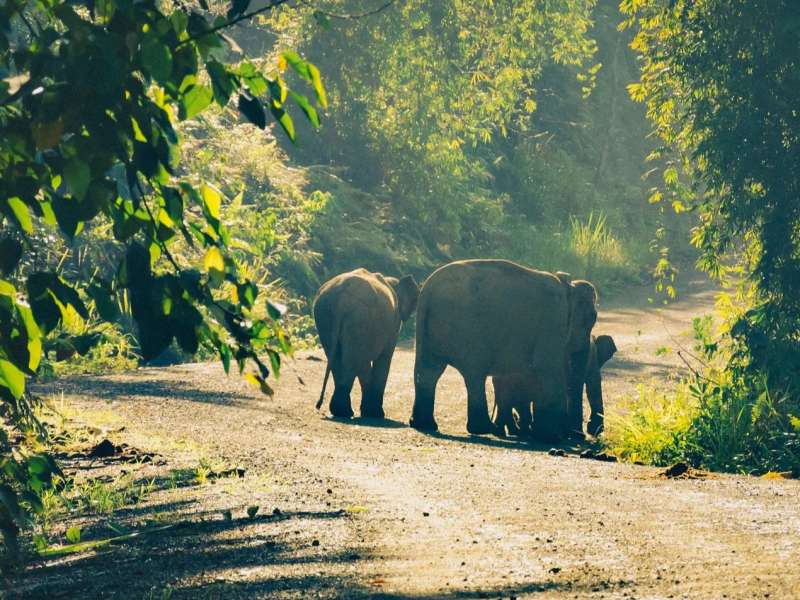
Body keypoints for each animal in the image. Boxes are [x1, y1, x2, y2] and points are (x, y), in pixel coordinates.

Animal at [314, 268, 419, 419]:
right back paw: (348, 412)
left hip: (326, 315)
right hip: (360, 319)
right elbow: (384, 358)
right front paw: (376, 414)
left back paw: (342, 412)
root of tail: (342, 300)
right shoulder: (393, 324)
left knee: (340, 359)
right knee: (354, 361)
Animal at [409, 259, 597, 442]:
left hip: (429, 332)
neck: (568, 286)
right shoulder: (553, 321)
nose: (578, 435)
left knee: (429, 371)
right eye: (592, 318)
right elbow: (547, 367)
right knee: (473, 373)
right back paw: (485, 429)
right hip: (468, 329)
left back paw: (425, 425)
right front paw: (551, 437)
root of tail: (427, 292)